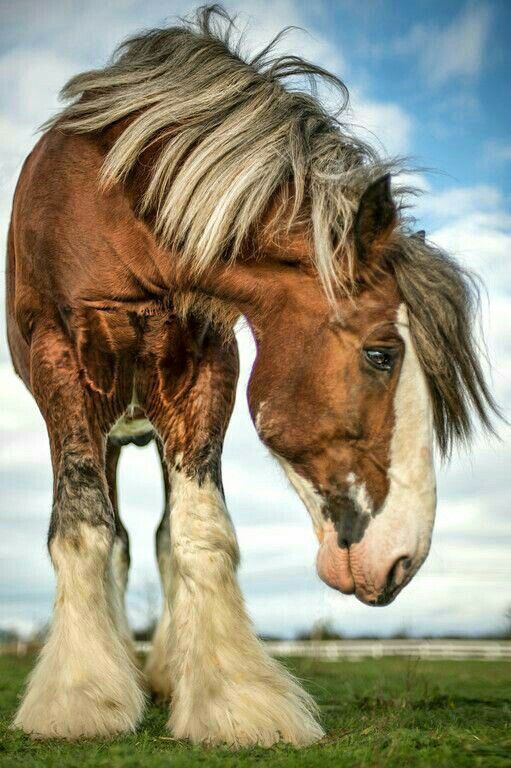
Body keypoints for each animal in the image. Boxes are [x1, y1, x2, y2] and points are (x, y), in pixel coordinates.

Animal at [6, 4, 498, 752]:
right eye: (381, 354)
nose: (403, 560)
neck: (117, 206)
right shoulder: (61, 365)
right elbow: (85, 529)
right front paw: (82, 700)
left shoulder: (205, 367)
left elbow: (199, 533)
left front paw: (234, 703)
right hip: (105, 426)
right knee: (113, 537)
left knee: (158, 538)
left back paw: (164, 674)